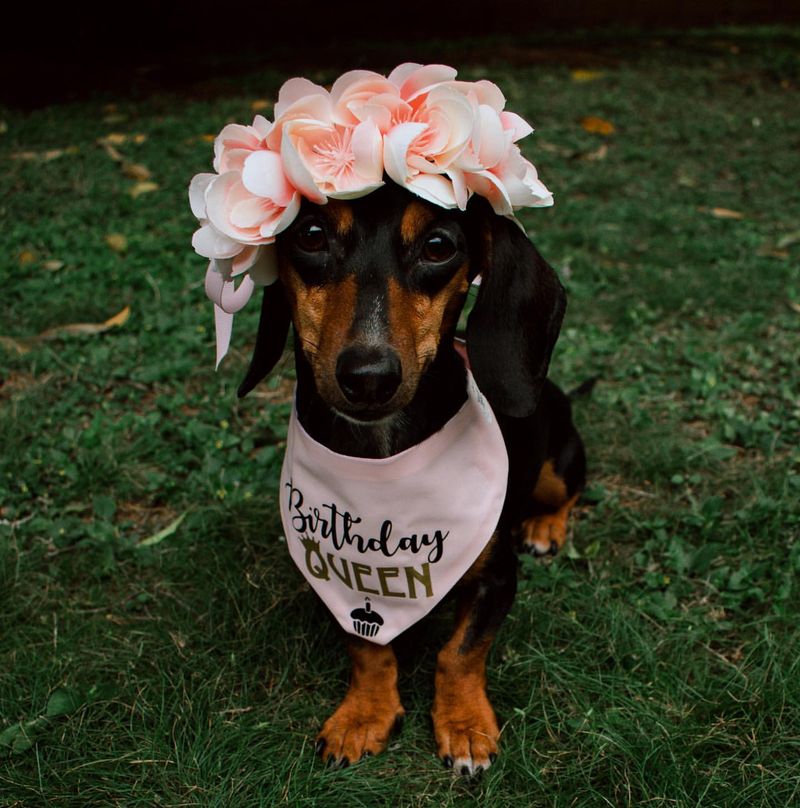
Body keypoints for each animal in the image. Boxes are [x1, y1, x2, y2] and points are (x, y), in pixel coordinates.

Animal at [234, 183, 584, 776]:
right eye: (311, 235)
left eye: (438, 245)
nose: (369, 378)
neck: (382, 460)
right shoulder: (336, 582)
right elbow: (367, 648)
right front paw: (364, 715)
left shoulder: (497, 579)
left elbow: (460, 652)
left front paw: (464, 726)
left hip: (557, 466)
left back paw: (545, 528)